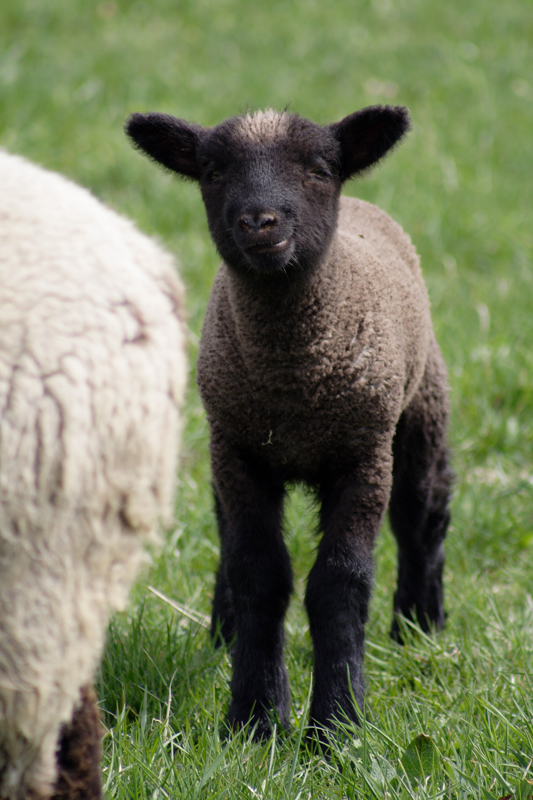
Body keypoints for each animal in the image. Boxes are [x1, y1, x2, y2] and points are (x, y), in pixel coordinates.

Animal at [127, 103, 450, 740]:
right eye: (212, 171)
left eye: (320, 170)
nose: (260, 222)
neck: (293, 389)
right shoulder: (239, 453)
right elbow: (259, 573)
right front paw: (255, 719)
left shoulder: (362, 456)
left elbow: (340, 584)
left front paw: (338, 725)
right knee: (228, 539)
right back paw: (223, 633)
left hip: (419, 410)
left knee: (423, 519)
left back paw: (419, 627)